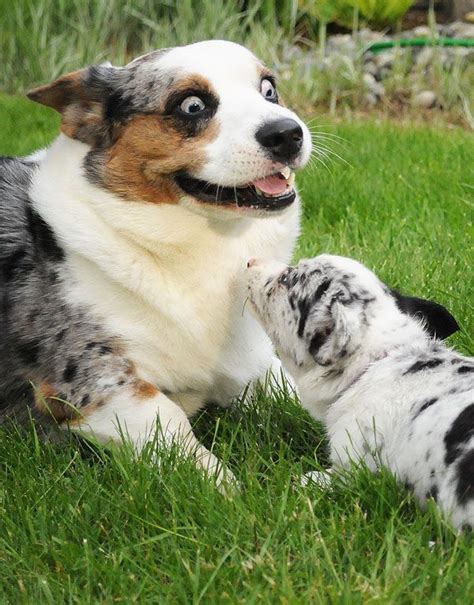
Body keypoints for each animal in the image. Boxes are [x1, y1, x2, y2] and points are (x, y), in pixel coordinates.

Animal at [0, 40, 312, 484]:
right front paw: (231, 490)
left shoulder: (254, 364)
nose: (287, 133)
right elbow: (174, 426)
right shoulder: (96, 385)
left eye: (269, 90)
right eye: (192, 106)